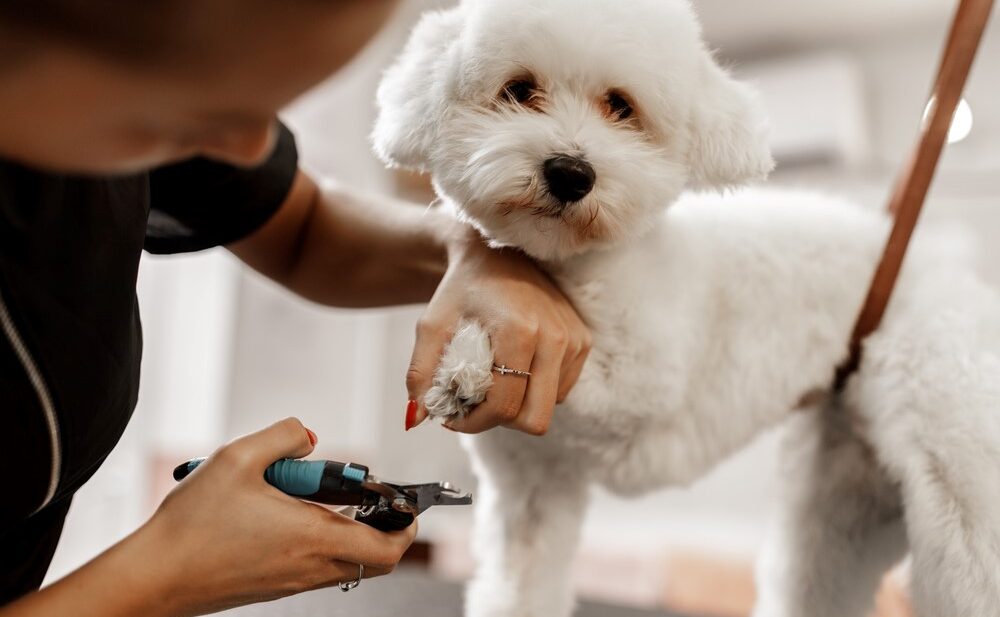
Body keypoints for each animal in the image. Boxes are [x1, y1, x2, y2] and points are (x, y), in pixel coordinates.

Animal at [372, 2, 1000, 612]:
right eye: (519, 89)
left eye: (621, 106)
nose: (571, 174)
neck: (579, 269)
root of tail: (933, 264)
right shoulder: (533, 492)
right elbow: (518, 589)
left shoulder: (641, 384)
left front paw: (468, 363)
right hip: (840, 498)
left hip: (955, 473)